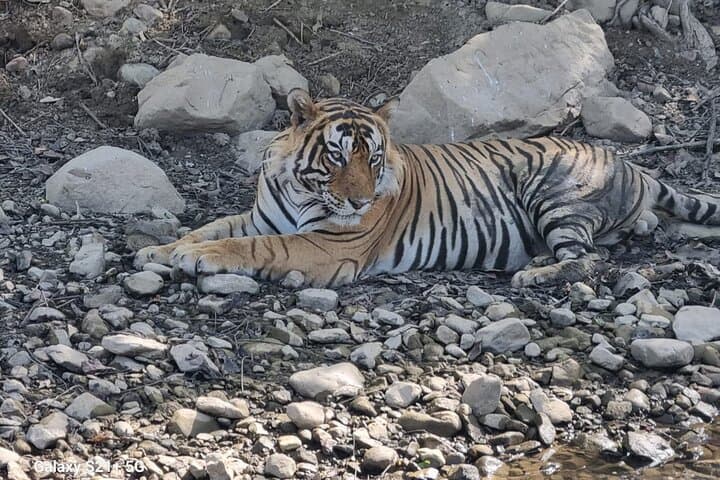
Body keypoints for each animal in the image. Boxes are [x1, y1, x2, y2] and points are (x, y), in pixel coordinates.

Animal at [134, 88, 720, 288]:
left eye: (373, 158)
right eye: (337, 155)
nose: (360, 200)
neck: (301, 189)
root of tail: (631, 165)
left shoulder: (327, 244)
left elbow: (252, 246)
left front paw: (199, 258)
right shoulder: (259, 215)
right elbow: (213, 226)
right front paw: (158, 250)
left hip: (554, 190)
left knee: (587, 261)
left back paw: (533, 273)